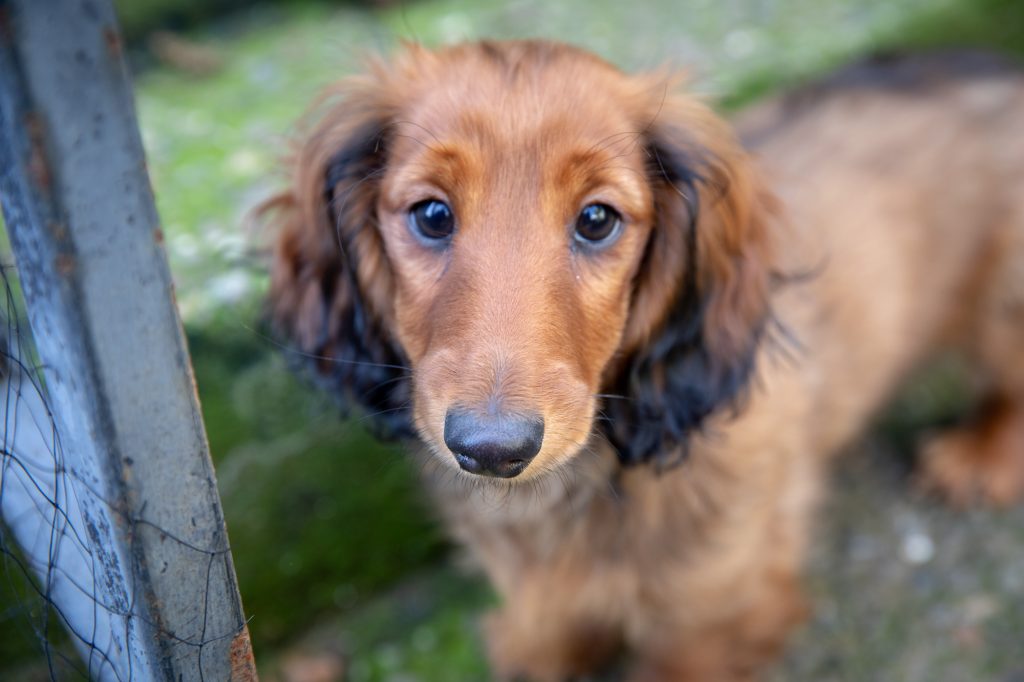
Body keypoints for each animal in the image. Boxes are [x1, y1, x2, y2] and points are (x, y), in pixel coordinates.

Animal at [262, 43, 1024, 679]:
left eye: (597, 220)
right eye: (431, 214)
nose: (492, 450)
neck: (583, 485)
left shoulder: (717, 609)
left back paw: (981, 455)